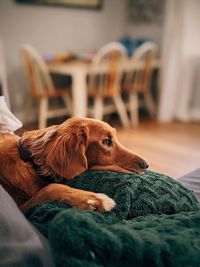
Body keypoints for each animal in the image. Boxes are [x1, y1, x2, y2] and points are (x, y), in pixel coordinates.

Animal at [0, 117, 148, 214]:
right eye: (106, 142)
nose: (146, 165)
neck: (32, 161)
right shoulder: (22, 209)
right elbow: (51, 187)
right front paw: (95, 199)